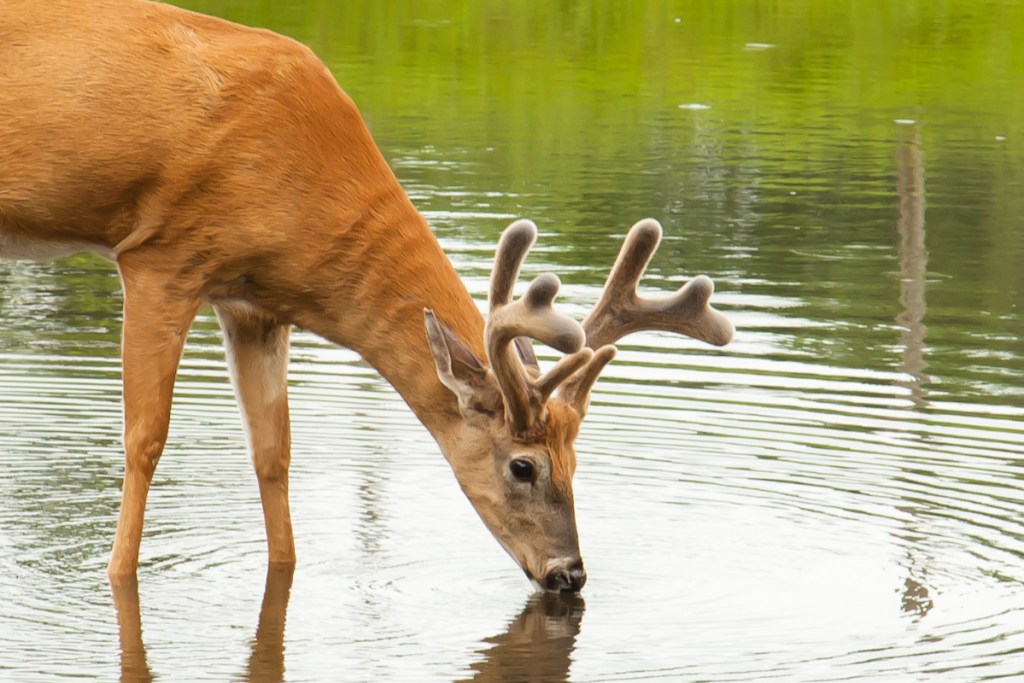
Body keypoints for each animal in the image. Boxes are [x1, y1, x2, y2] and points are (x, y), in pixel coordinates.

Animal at [2, 0, 737, 593]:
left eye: (578, 460)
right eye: (523, 466)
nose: (569, 574)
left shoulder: (253, 304)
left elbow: (273, 451)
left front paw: (286, 564)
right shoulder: (162, 258)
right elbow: (144, 438)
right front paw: (115, 573)